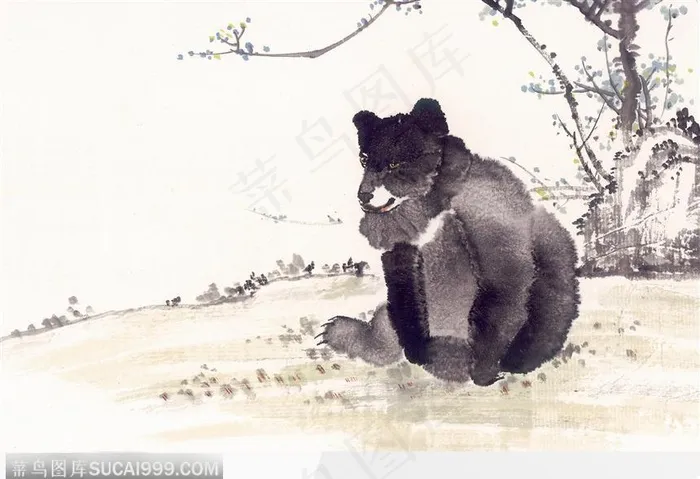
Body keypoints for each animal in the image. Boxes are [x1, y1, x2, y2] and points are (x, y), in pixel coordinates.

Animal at [316, 98, 580, 386]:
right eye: (364, 158)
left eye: (396, 164)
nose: (364, 196)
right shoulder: (399, 246)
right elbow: (402, 291)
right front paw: (417, 350)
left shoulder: (486, 208)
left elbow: (505, 280)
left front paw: (481, 369)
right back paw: (346, 333)